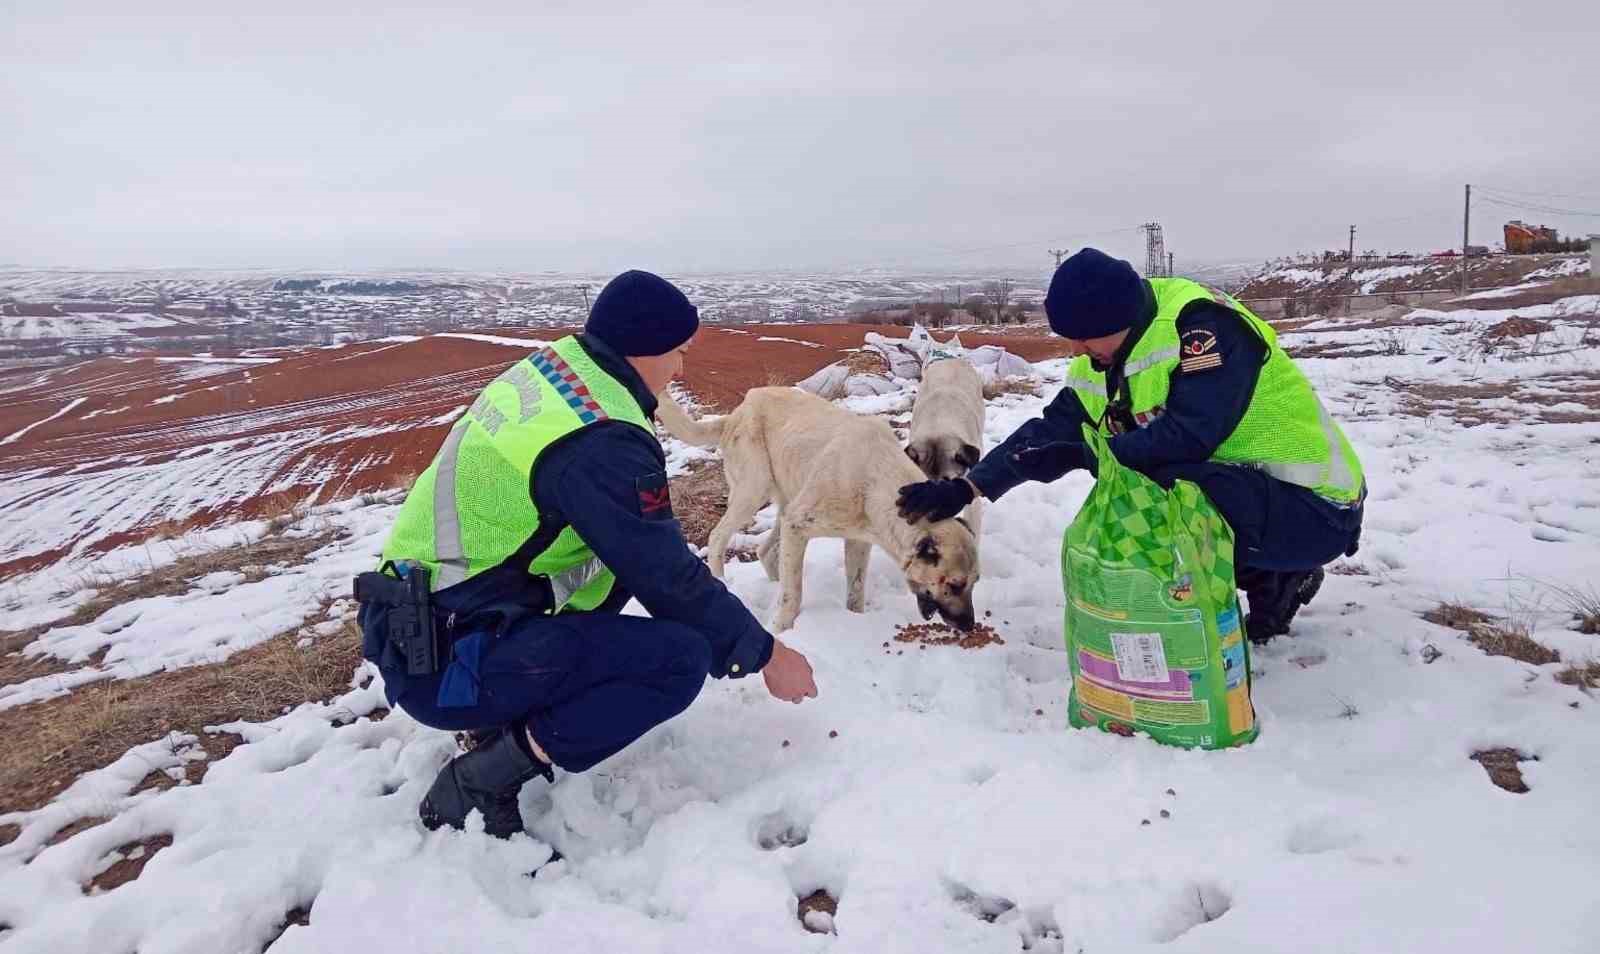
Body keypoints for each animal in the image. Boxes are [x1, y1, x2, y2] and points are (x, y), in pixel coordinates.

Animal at [649, 387, 972, 633]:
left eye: (974, 582)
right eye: (955, 585)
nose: (969, 626)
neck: (874, 480)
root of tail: (737, 412)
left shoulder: (857, 541)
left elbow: (855, 591)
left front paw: (855, 621)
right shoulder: (798, 525)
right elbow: (793, 595)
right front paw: (782, 629)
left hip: (786, 501)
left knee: (766, 551)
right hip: (753, 492)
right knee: (718, 538)